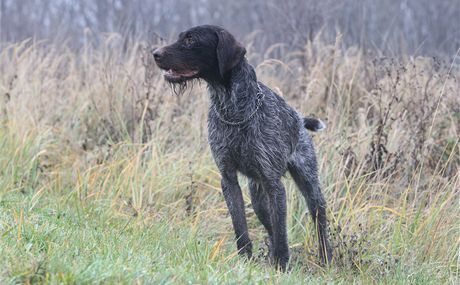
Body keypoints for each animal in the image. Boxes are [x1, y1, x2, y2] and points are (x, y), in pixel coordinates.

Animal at [154, 24, 330, 268]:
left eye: (190, 40)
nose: (155, 54)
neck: (233, 111)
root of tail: (299, 119)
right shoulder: (228, 179)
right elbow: (241, 227)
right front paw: (245, 260)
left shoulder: (274, 184)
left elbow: (281, 232)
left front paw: (282, 265)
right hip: (258, 200)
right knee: (270, 227)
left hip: (309, 184)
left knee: (318, 219)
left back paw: (326, 256)